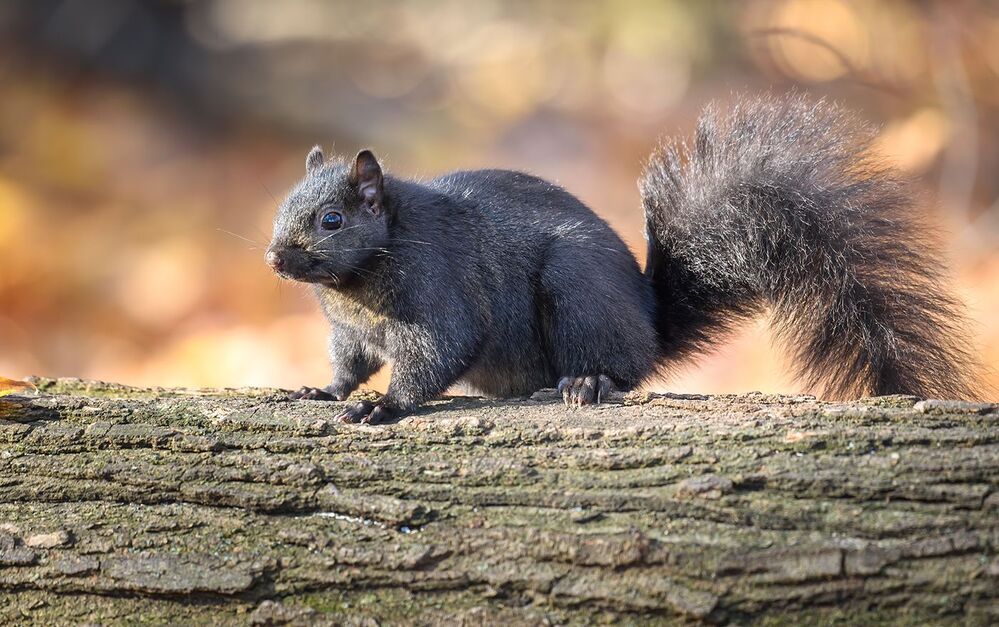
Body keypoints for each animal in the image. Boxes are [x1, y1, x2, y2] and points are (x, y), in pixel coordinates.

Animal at [265, 94, 979, 424]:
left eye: (332, 220)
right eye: (280, 205)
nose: (274, 257)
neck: (355, 284)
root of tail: (649, 325)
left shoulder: (439, 290)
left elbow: (439, 352)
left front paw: (384, 406)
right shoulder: (353, 331)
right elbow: (350, 363)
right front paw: (322, 388)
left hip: (578, 292)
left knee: (623, 370)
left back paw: (588, 382)